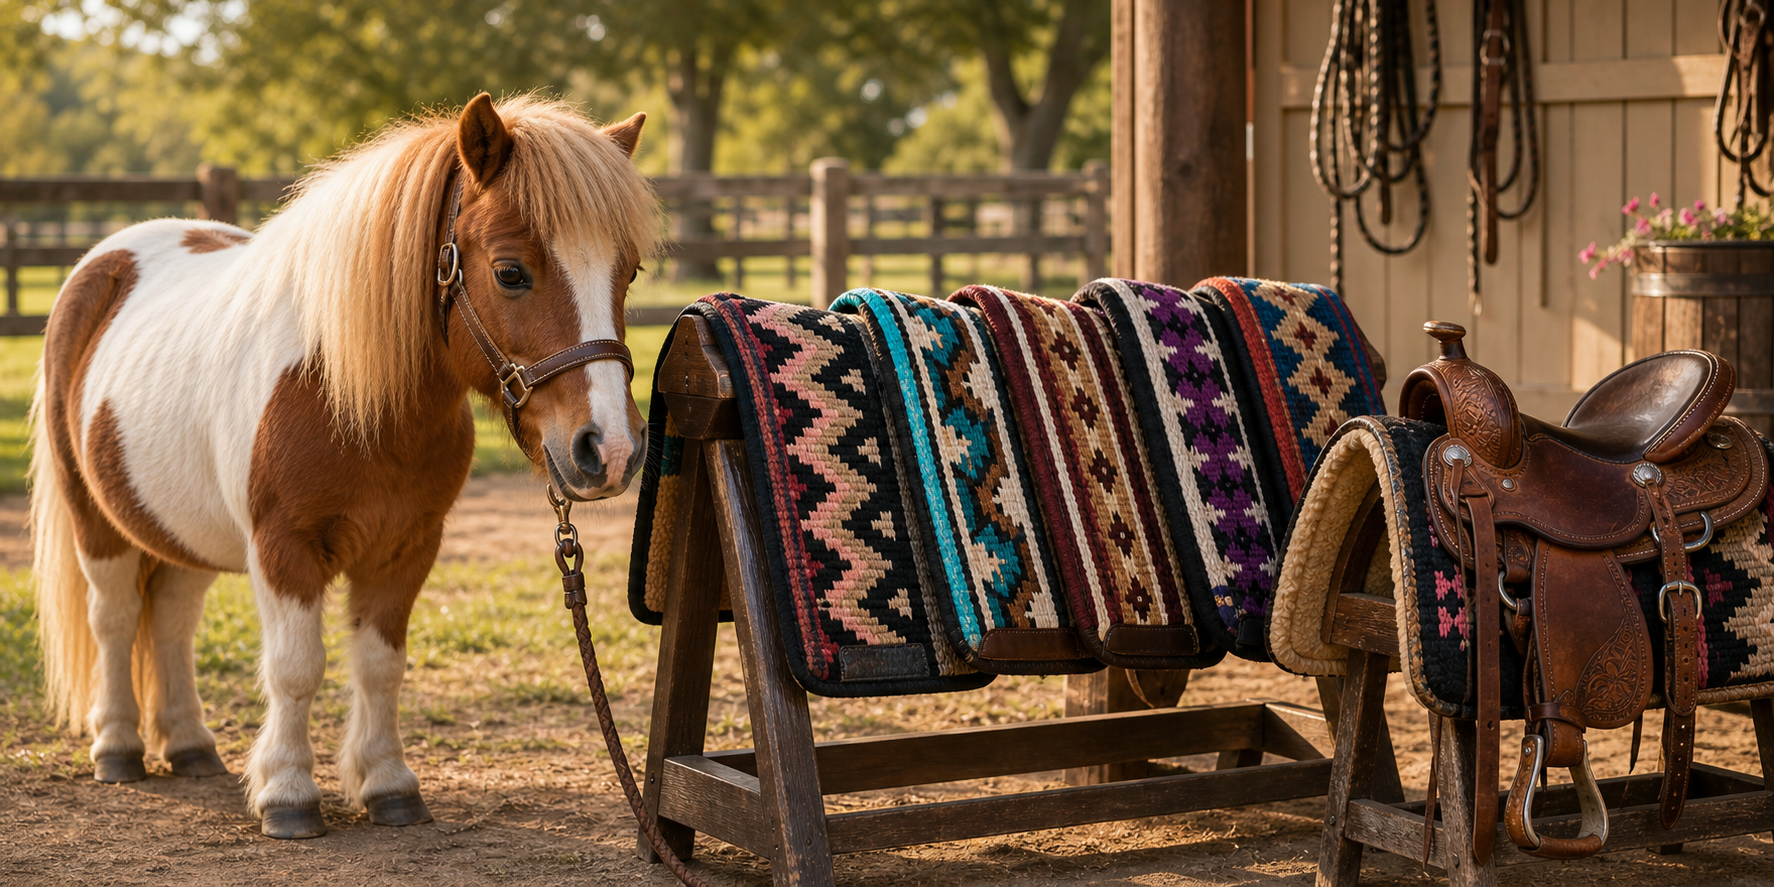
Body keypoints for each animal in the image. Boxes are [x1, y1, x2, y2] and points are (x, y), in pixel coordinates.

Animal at [30, 94, 660, 839]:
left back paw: (189, 746)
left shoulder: (407, 547)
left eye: (628, 272)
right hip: (95, 520)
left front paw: (388, 784)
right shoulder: (282, 549)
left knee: (173, 618)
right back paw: (119, 747)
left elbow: (381, 665)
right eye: (511, 271)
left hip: (179, 528)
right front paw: (287, 794)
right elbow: (296, 668)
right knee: (115, 617)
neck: (347, 395)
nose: (611, 448)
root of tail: (103, 262)